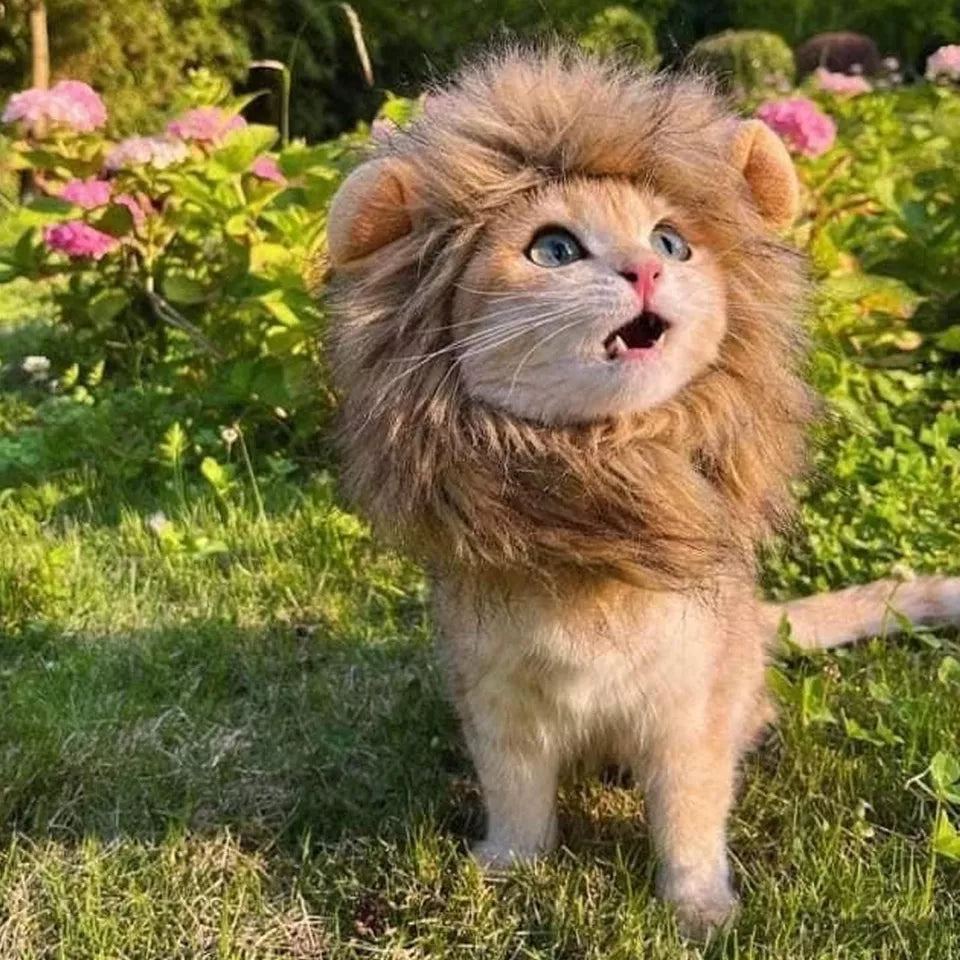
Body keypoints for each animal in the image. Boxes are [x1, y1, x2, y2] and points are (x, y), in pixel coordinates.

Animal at [322, 47, 960, 936]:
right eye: (554, 249)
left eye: (671, 240)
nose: (649, 267)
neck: (601, 497)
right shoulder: (500, 705)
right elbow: (517, 802)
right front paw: (508, 868)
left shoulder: (686, 718)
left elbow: (689, 822)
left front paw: (698, 909)